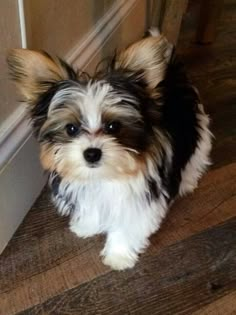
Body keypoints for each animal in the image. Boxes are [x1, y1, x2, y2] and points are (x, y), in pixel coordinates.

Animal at [6, 29, 212, 270]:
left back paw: (187, 181)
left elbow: (129, 225)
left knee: (196, 154)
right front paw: (86, 226)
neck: (104, 175)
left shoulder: (139, 199)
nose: (91, 153)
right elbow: (91, 208)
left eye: (113, 126)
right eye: (71, 128)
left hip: (198, 128)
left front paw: (118, 256)